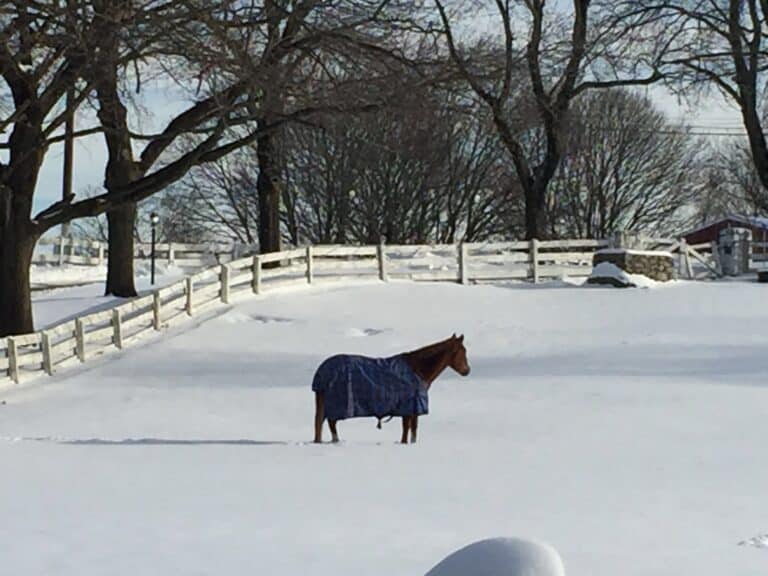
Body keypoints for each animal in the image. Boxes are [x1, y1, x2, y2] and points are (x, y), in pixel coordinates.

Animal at [311, 334, 470, 444]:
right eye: (461, 351)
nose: (467, 371)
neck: (418, 370)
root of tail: (321, 372)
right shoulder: (408, 407)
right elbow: (407, 431)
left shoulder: (412, 408)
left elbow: (412, 430)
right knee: (327, 422)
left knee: (328, 422)